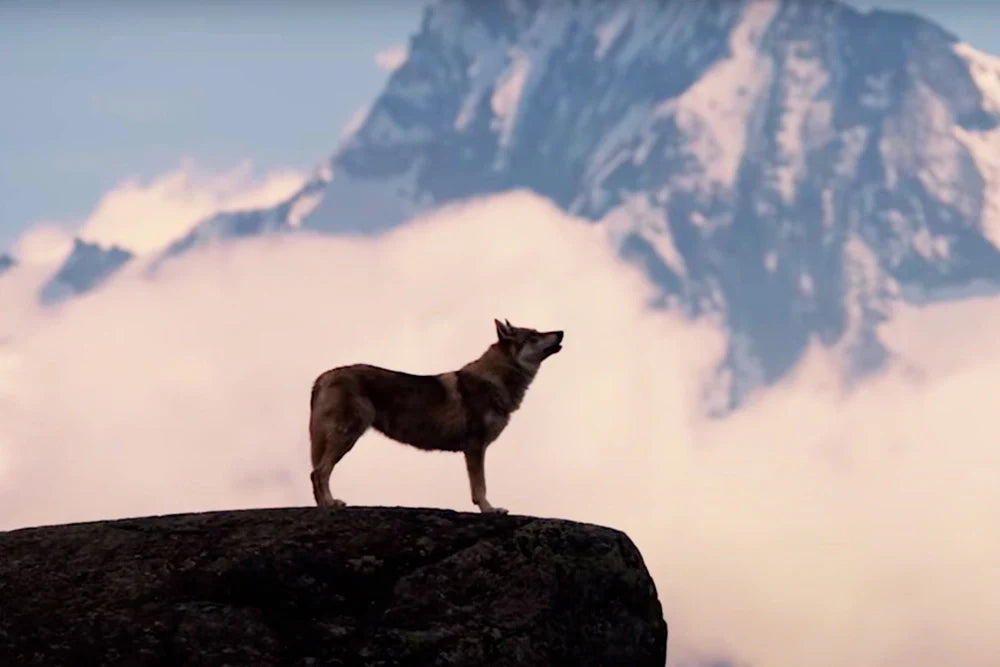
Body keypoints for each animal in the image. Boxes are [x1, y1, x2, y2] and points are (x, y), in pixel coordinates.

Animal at [308, 319, 564, 514]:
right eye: (534, 335)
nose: (561, 332)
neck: (494, 380)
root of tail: (323, 376)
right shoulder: (475, 447)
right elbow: (480, 487)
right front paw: (490, 510)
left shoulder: (473, 449)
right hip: (347, 436)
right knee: (319, 472)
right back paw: (331, 503)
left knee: (316, 473)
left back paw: (324, 506)